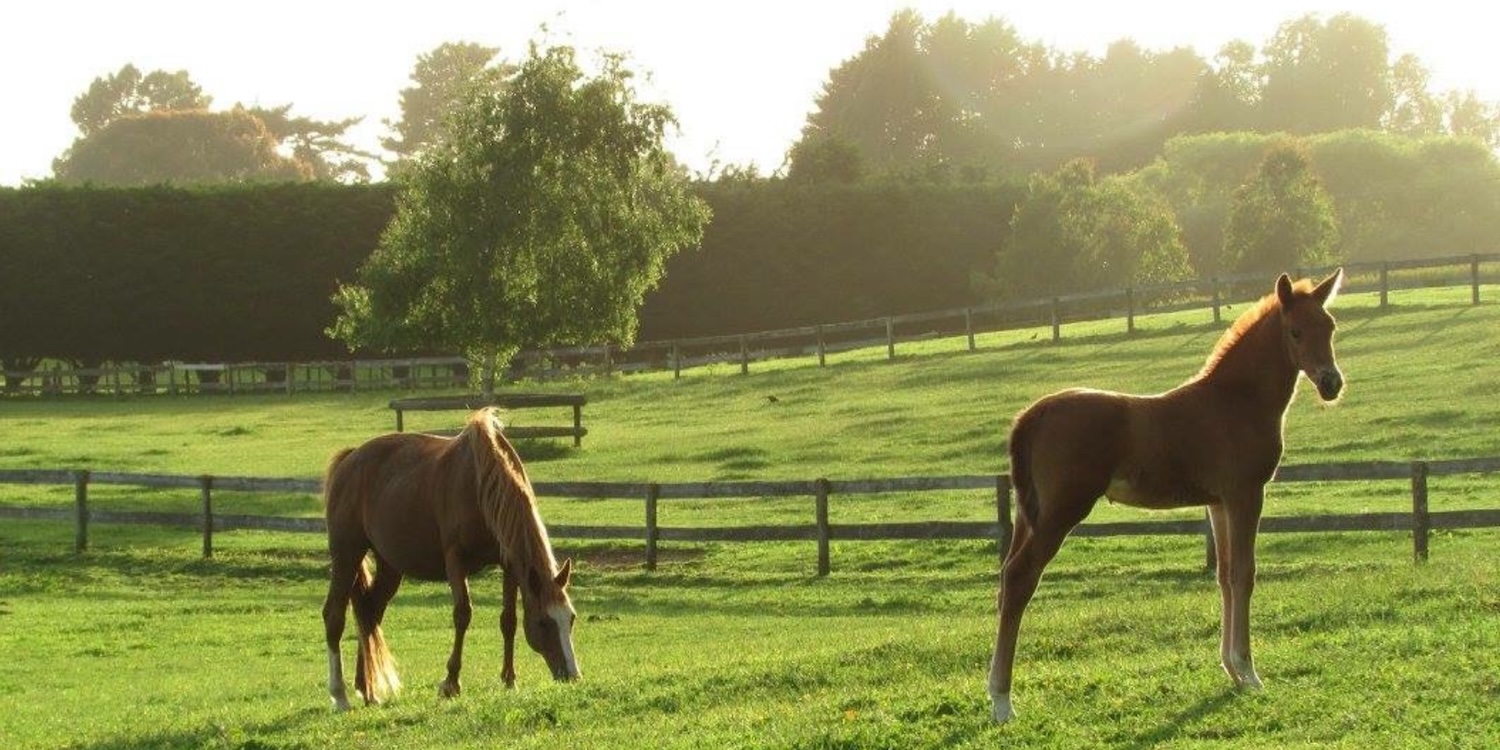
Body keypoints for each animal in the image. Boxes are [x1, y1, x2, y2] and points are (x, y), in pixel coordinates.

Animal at [321, 407, 580, 711]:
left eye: (571, 618)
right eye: (543, 623)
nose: (572, 675)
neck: (481, 486)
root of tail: (349, 459)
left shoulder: (509, 564)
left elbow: (509, 620)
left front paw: (509, 679)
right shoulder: (455, 560)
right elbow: (462, 614)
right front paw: (451, 683)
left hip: (390, 566)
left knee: (369, 612)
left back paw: (368, 690)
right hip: (346, 553)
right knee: (334, 615)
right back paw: (339, 695)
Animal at [988, 268, 1345, 724]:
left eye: (1330, 326)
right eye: (1295, 331)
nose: (1332, 383)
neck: (1234, 401)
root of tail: (1033, 415)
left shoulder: (1218, 502)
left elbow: (1224, 575)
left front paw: (1231, 670)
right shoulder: (1246, 494)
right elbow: (1244, 574)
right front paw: (1250, 672)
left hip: (1027, 514)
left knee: (1006, 580)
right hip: (1061, 512)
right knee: (1020, 579)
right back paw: (1002, 701)